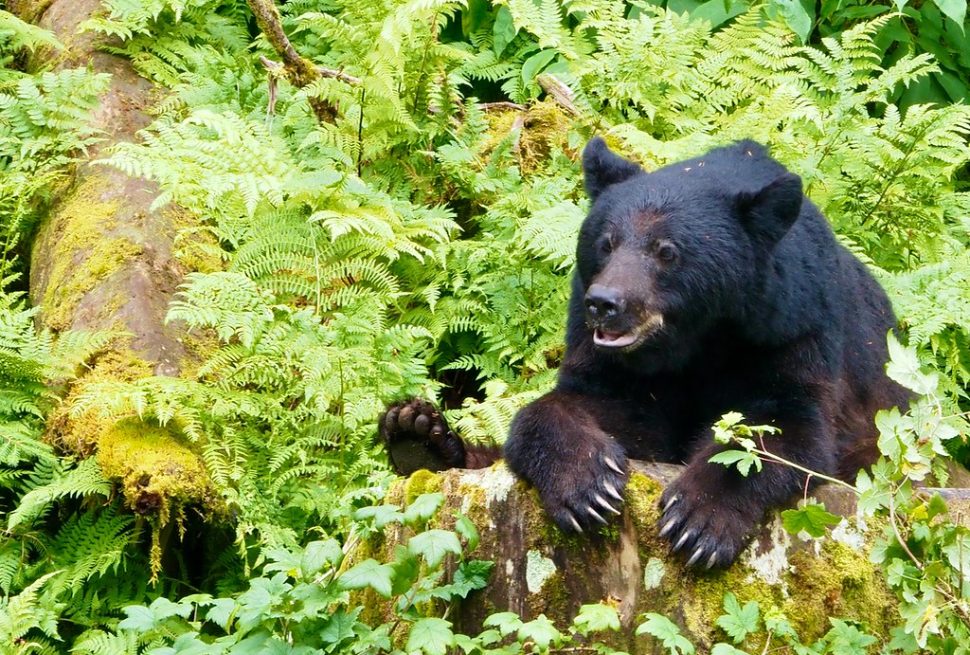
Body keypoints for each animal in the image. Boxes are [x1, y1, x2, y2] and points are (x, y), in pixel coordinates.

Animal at [381, 137, 908, 568]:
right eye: (607, 242)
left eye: (666, 251)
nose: (604, 303)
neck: (698, 340)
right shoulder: (618, 364)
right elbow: (600, 411)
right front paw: (587, 486)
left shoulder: (792, 329)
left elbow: (787, 429)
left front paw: (698, 520)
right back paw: (417, 432)